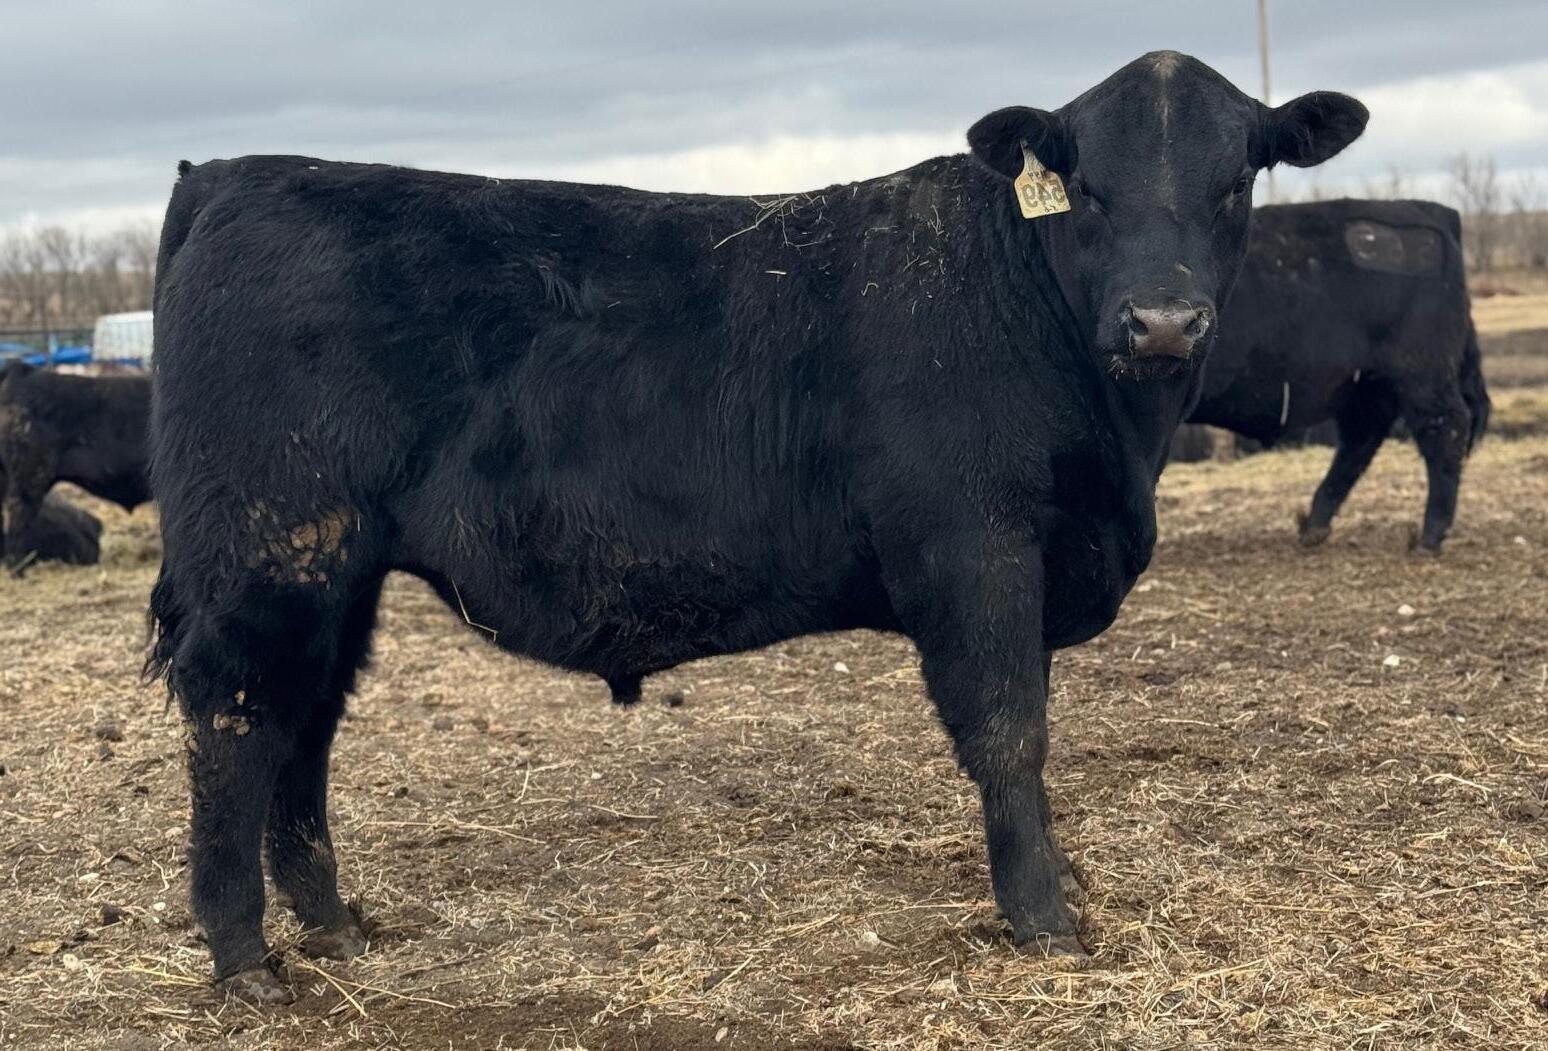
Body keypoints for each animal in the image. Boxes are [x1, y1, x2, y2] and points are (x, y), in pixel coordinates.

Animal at [147, 51, 1365, 1000]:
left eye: (1235, 179)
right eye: (1088, 186)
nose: (1162, 322)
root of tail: (232, 175)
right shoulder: (976, 548)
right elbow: (1010, 731)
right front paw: (1044, 921)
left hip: (333, 567)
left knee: (303, 727)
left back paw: (334, 928)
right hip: (271, 544)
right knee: (236, 717)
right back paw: (245, 959)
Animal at [1188, 199, 1488, 551]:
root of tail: (1432, 210)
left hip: (1421, 375)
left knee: (1444, 430)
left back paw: (1429, 536)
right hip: (1367, 386)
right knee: (1362, 440)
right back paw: (1315, 525)